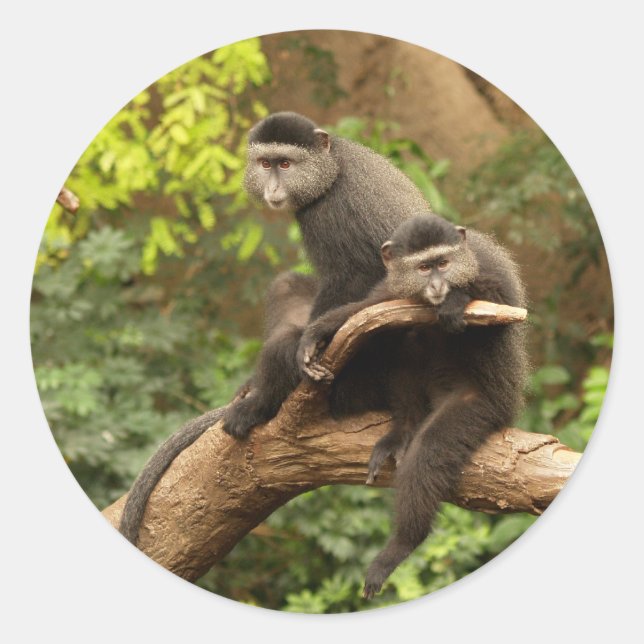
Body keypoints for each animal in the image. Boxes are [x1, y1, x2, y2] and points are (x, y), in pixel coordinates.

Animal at [118, 111, 430, 544]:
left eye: (286, 163)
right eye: (266, 164)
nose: (274, 187)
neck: (332, 168)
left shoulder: (330, 213)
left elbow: (357, 277)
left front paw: (305, 350)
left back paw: (264, 402)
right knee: (286, 285)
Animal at [296, 214, 528, 599]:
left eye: (443, 264)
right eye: (423, 268)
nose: (436, 285)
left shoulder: (487, 268)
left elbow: (503, 308)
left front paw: (456, 299)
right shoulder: (393, 287)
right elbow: (368, 309)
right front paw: (318, 332)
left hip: (483, 406)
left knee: (430, 451)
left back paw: (402, 544)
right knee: (403, 338)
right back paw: (402, 431)